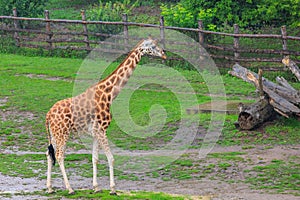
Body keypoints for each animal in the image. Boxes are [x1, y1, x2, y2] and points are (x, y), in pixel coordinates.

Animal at [44, 38, 166, 195]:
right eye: (152, 46)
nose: (164, 54)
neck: (109, 94)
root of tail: (48, 115)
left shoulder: (95, 131)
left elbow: (95, 158)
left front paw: (96, 187)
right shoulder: (101, 129)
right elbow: (111, 158)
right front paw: (113, 189)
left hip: (54, 134)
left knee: (49, 154)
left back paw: (50, 188)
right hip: (62, 133)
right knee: (59, 156)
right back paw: (70, 188)